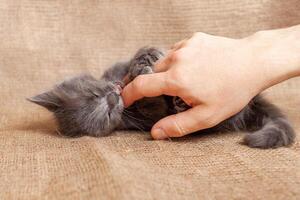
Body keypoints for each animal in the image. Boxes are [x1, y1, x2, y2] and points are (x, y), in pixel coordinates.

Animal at [28, 46, 296, 147]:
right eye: (108, 115)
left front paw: (145, 58)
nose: (114, 98)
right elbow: (153, 107)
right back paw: (180, 104)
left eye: (96, 93)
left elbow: (136, 60)